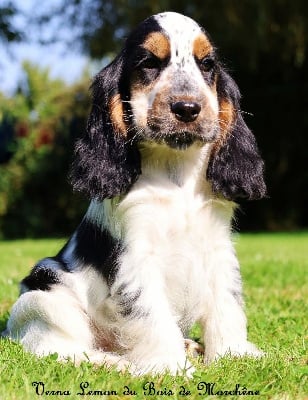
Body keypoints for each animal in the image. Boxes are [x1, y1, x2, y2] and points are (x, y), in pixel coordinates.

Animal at [3, 11, 266, 376]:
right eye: (149, 62)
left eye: (207, 64)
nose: (188, 108)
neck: (175, 170)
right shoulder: (137, 258)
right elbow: (150, 313)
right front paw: (170, 367)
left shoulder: (218, 248)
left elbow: (226, 304)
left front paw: (234, 355)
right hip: (44, 293)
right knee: (58, 349)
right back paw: (116, 362)